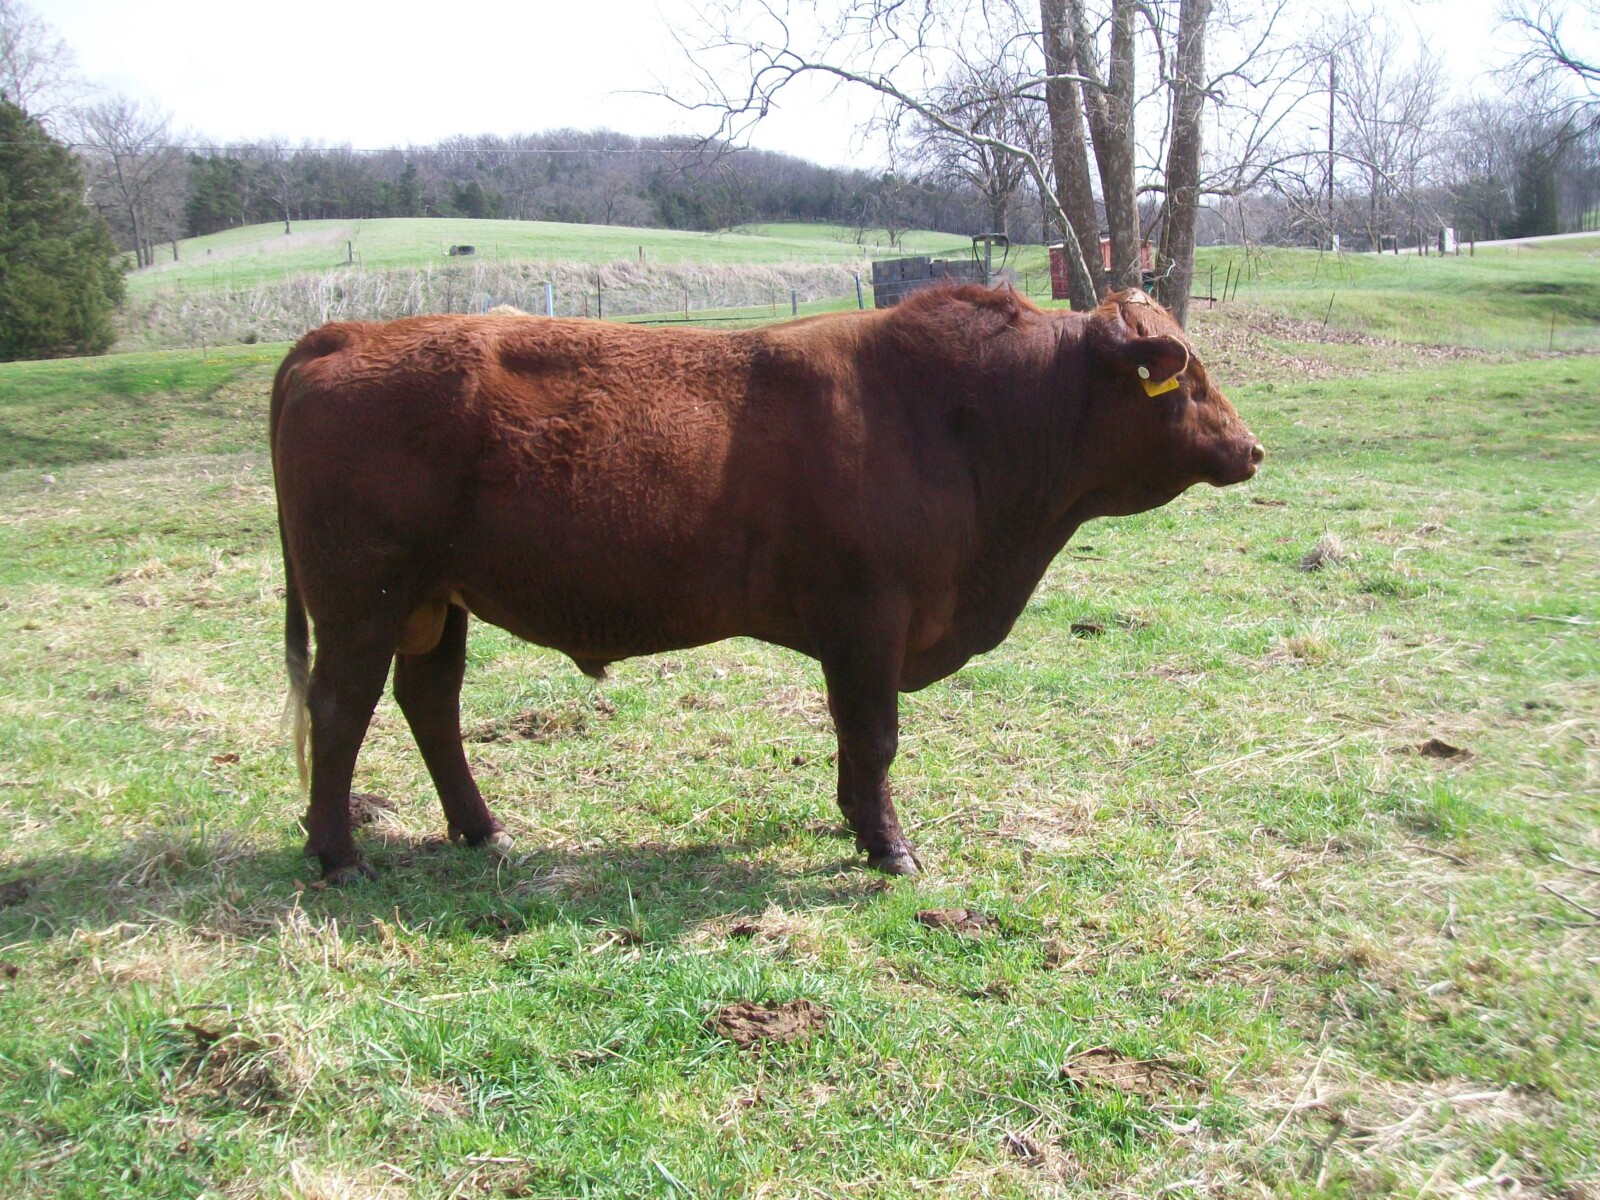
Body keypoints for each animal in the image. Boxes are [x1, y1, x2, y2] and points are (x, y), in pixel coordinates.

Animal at [271, 286, 1263, 882]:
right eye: (1187, 379)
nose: (1252, 448)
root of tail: (349, 332)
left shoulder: (858, 635)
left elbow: (853, 741)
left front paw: (855, 824)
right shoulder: (869, 619)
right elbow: (876, 737)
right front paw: (890, 849)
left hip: (436, 604)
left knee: (429, 704)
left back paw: (482, 830)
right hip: (363, 602)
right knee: (340, 708)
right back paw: (338, 853)